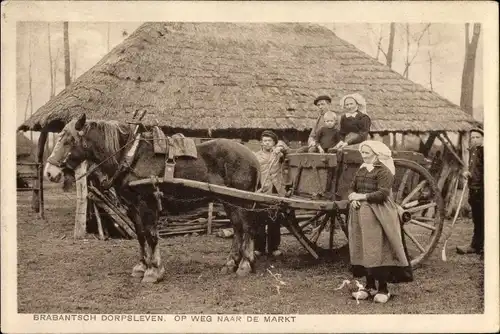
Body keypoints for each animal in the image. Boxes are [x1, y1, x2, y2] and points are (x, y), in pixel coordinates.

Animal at [44, 113, 262, 284]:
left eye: (69, 140)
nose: (49, 172)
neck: (130, 156)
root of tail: (252, 156)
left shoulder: (147, 203)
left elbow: (151, 235)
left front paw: (153, 271)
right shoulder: (132, 206)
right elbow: (140, 235)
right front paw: (141, 266)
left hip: (242, 201)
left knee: (248, 228)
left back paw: (244, 264)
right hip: (228, 200)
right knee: (238, 229)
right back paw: (230, 263)